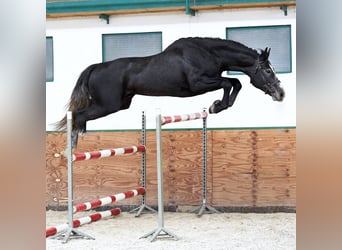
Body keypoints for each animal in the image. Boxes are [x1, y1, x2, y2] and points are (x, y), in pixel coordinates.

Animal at [56, 36, 284, 147]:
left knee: (79, 116)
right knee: (78, 115)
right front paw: (217, 106)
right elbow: (230, 83)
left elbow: (235, 83)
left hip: (120, 104)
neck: (208, 53)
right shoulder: (199, 84)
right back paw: (72, 146)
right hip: (107, 105)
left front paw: (218, 106)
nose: (281, 93)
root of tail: (95, 67)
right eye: (267, 70)